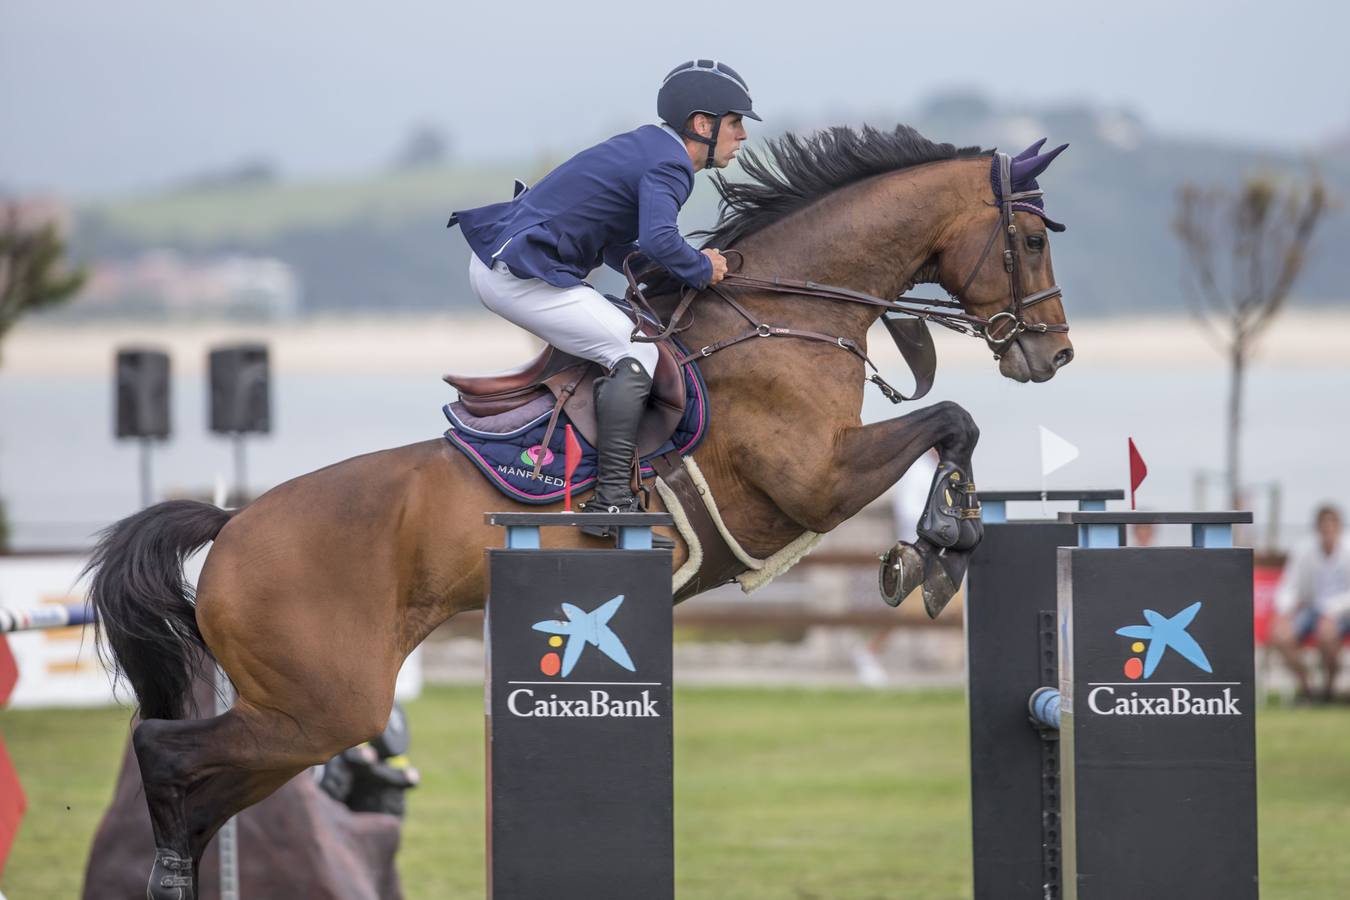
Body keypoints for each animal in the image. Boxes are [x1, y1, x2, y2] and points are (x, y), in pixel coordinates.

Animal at [87, 123, 1074, 895]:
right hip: (320, 707)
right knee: (169, 754)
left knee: (204, 789)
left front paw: (940, 548)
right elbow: (952, 419)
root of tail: (234, 526)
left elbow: (954, 426)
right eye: (1029, 237)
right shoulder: (816, 479)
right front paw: (936, 545)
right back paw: (165, 873)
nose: (1054, 354)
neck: (782, 314)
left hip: (303, 718)